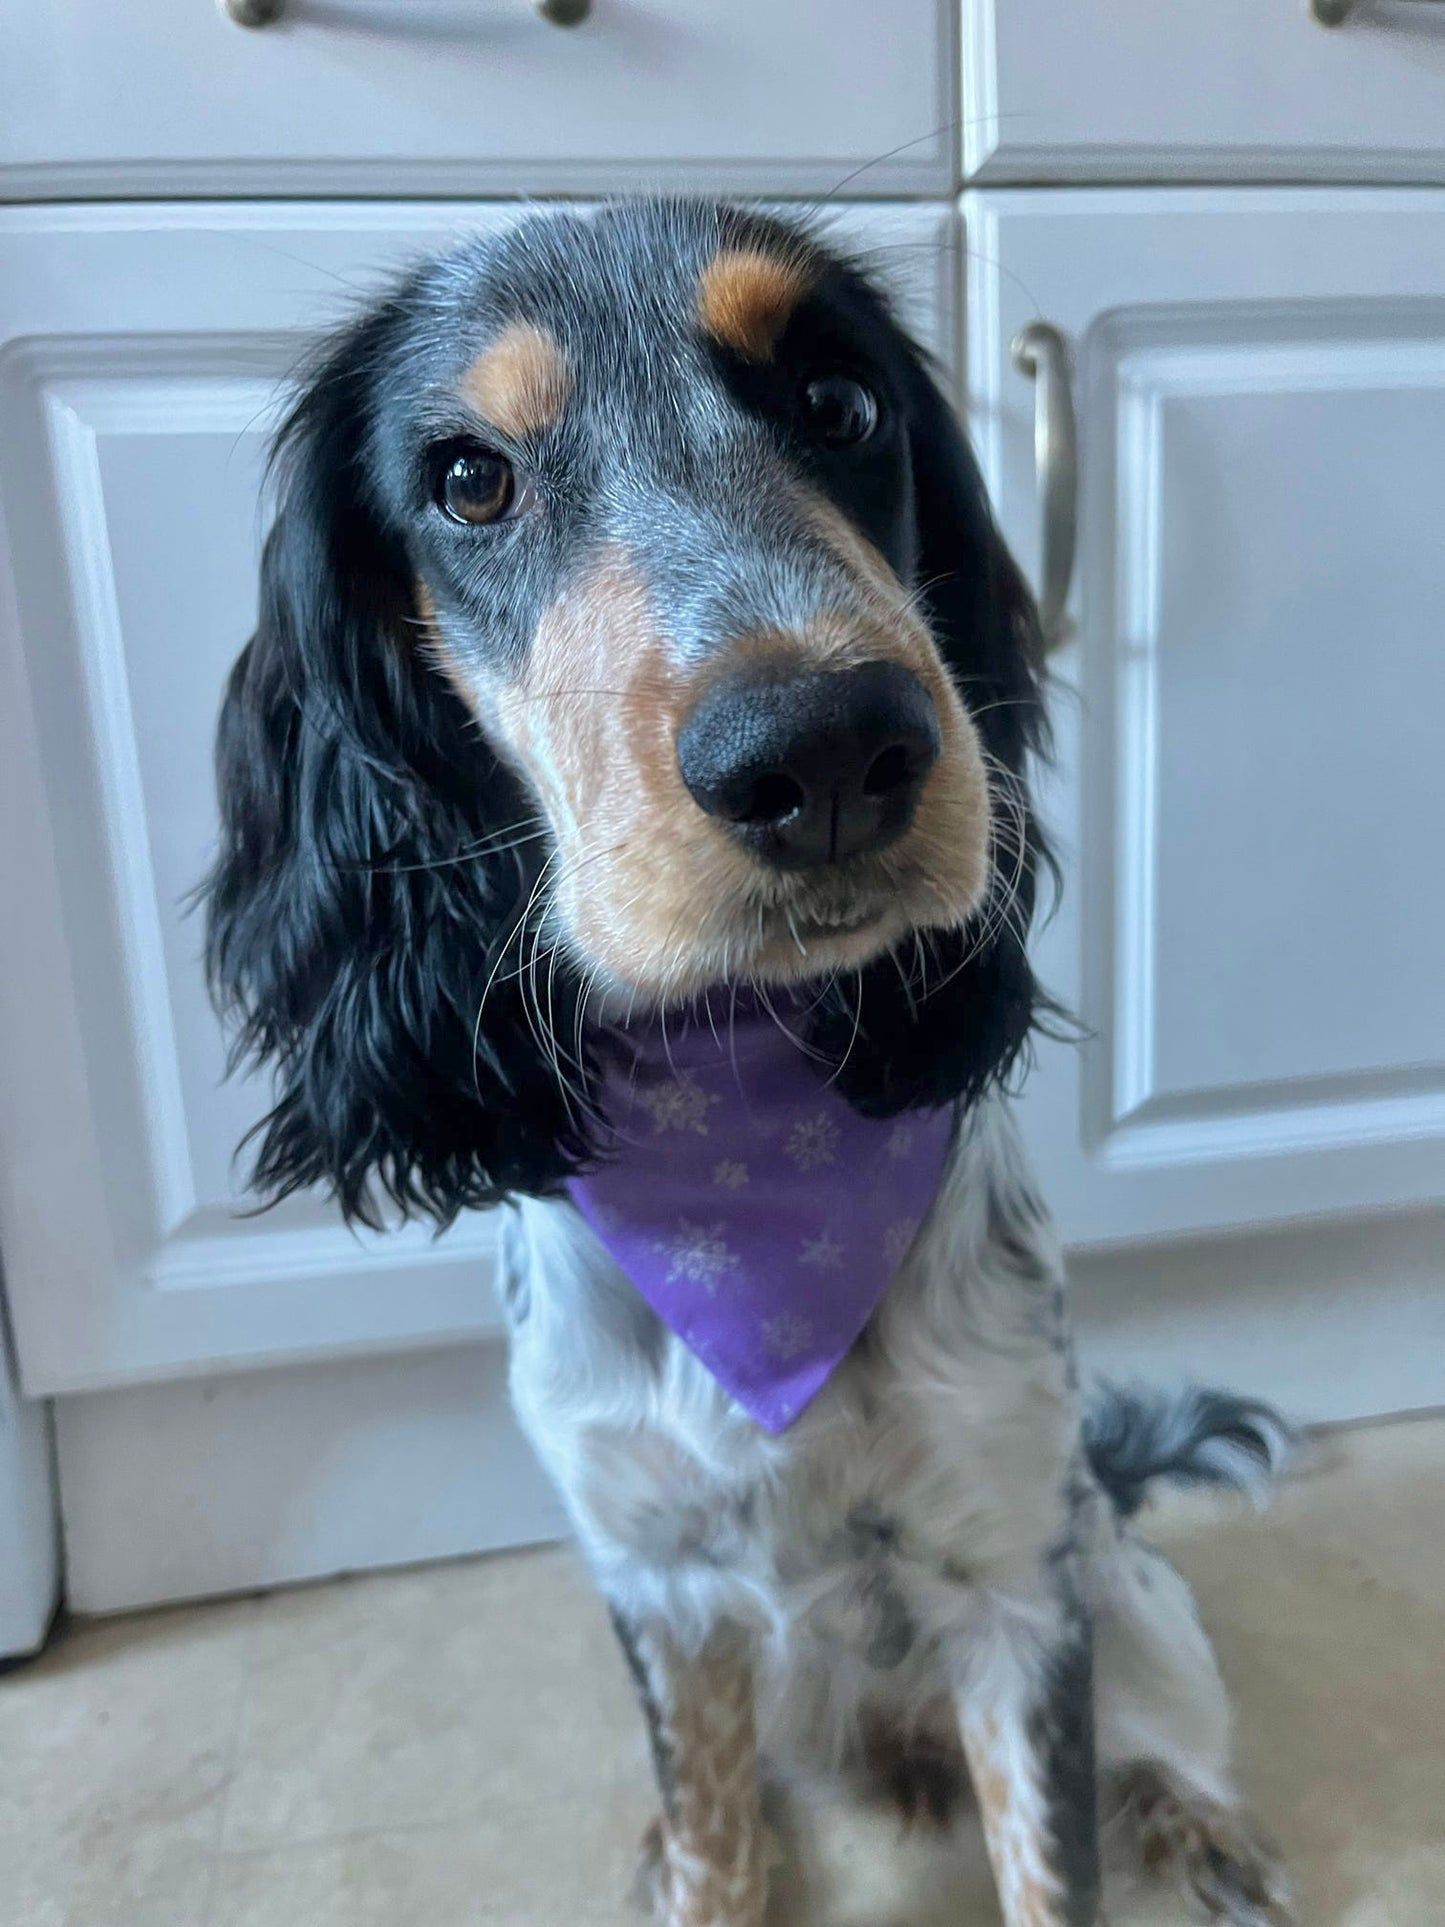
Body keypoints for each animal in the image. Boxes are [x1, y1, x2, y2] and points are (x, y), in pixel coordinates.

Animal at [206, 199, 1302, 1927]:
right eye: (469, 479)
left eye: (841, 404)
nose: (830, 748)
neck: (740, 1130)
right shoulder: (655, 1584)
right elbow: (717, 1829)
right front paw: (693, 1862)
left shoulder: (1017, 1570)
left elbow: (1051, 1856)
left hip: (1126, 1584)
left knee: (1166, 1720)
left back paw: (1188, 1822)